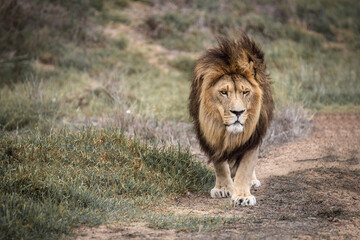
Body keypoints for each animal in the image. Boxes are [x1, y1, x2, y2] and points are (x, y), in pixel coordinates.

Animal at [188, 33, 272, 206]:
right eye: (224, 92)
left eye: (245, 92)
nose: (238, 112)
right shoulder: (211, 135)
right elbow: (220, 166)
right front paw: (223, 188)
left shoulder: (252, 138)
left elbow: (245, 168)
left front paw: (242, 196)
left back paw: (252, 181)